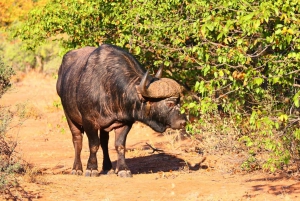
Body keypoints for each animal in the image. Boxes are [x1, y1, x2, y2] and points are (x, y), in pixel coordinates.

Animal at [56, 44, 186, 177]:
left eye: (179, 102)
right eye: (170, 103)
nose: (183, 122)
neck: (109, 87)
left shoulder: (124, 123)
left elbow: (120, 145)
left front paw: (123, 169)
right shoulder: (89, 121)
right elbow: (93, 145)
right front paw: (91, 168)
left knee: (104, 142)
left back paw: (107, 167)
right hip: (69, 116)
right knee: (77, 140)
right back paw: (77, 168)